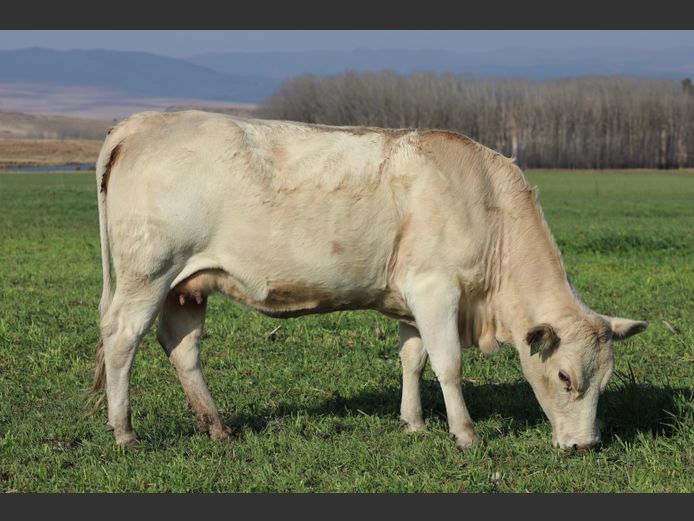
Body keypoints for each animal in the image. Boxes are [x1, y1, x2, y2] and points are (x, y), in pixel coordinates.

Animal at [89, 110, 648, 450]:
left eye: (606, 380)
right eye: (565, 377)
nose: (585, 445)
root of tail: (143, 122)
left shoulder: (410, 299)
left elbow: (413, 359)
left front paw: (414, 423)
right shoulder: (436, 289)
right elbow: (448, 364)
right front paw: (465, 434)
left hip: (185, 285)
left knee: (182, 347)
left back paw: (217, 427)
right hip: (148, 274)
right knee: (121, 338)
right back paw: (124, 432)